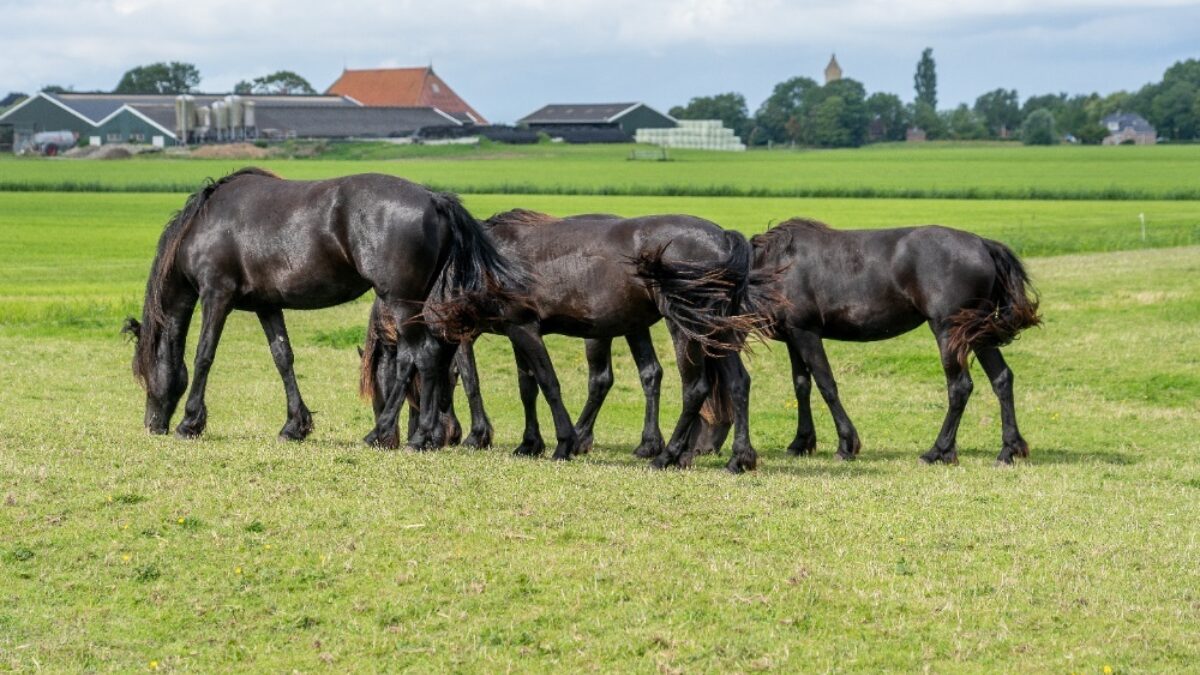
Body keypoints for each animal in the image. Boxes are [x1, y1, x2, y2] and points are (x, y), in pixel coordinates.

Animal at [122, 168, 525, 449]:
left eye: (143, 375)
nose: (151, 425)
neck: (205, 223)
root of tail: (433, 198)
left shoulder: (216, 295)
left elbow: (205, 355)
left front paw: (190, 422)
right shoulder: (267, 306)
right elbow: (283, 358)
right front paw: (294, 426)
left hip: (400, 301)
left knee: (420, 357)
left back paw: (403, 435)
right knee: (430, 358)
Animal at [362, 209, 777, 472]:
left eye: (390, 383)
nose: (394, 438)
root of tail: (724, 238)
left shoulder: (523, 328)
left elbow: (547, 384)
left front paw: (562, 443)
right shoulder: (514, 332)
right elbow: (526, 386)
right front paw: (529, 443)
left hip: (687, 328)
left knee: (695, 388)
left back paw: (668, 456)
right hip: (716, 331)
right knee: (737, 383)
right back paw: (739, 459)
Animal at [737, 218, 1041, 465]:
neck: (777, 266)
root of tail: (983, 244)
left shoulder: (806, 333)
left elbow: (826, 385)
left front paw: (846, 444)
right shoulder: (793, 337)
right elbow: (802, 386)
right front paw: (801, 443)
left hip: (948, 331)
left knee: (960, 386)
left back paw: (938, 451)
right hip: (976, 332)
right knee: (1001, 379)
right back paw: (1008, 450)